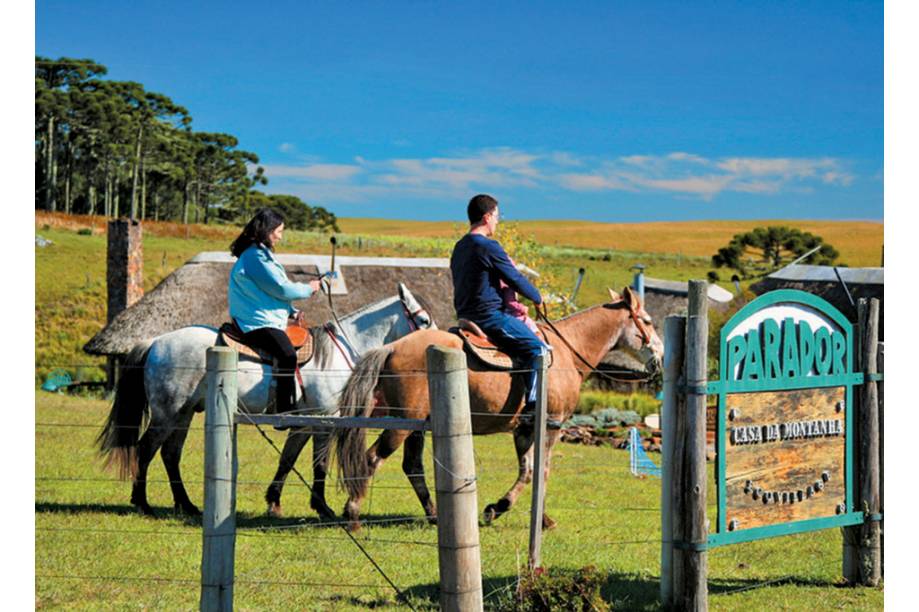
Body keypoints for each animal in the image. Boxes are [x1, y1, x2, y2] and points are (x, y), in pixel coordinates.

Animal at [96, 284, 434, 516]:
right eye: (424, 320)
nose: (438, 338)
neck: (338, 352)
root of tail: (155, 341)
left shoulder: (303, 424)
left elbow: (288, 460)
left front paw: (274, 502)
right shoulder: (324, 421)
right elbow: (319, 464)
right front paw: (322, 508)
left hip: (184, 413)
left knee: (169, 454)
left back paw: (186, 504)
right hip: (167, 413)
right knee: (146, 449)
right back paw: (142, 503)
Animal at [334, 286, 664, 532]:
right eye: (647, 321)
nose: (659, 357)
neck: (566, 352)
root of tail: (392, 347)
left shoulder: (524, 429)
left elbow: (529, 471)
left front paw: (526, 515)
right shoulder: (551, 425)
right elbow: (540, 471)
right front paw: (504, 509)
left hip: (417, 426)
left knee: (412, 467)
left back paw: (434, 515)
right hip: (402, 425)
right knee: (371, 459)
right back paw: (352, 515)